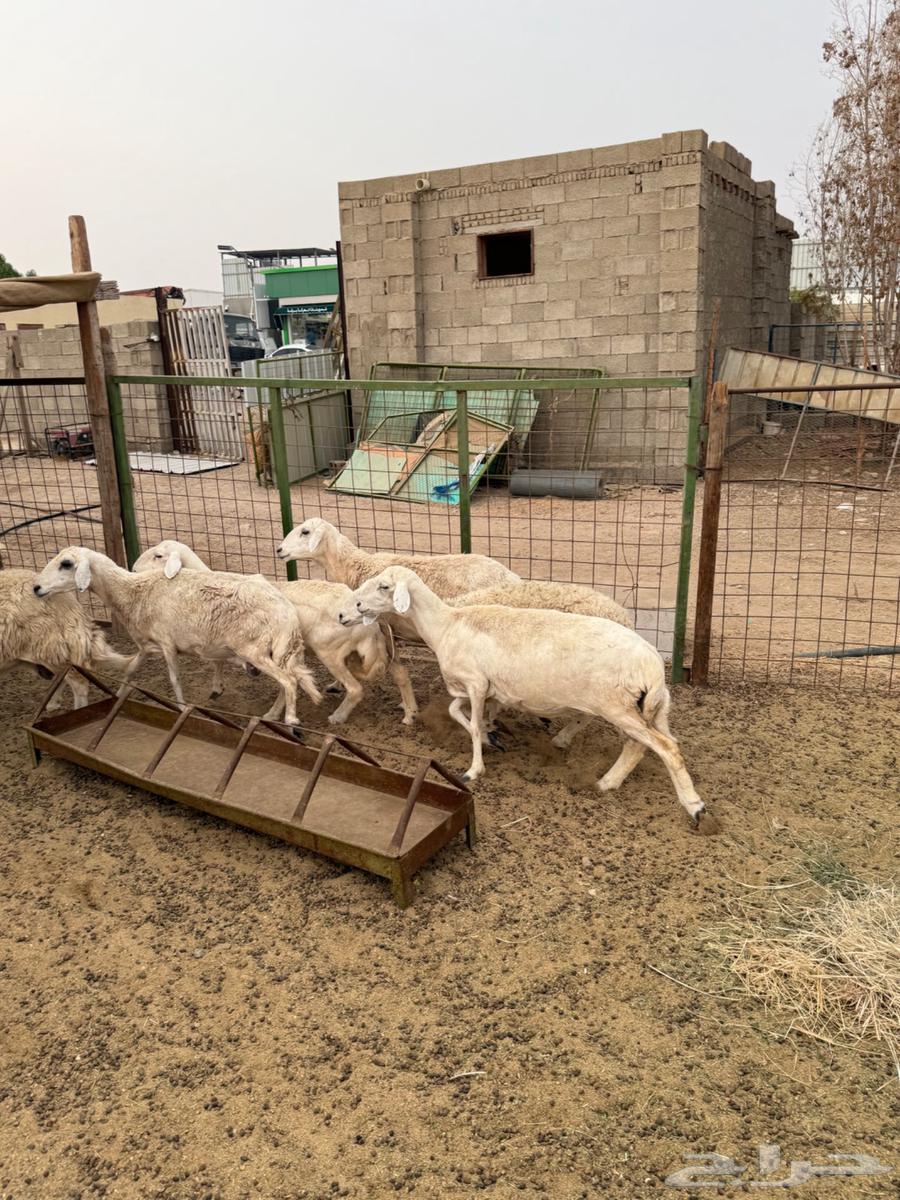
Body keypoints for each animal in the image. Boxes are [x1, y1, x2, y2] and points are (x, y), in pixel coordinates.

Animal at [33, 548, 321, 729]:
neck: (133, 591)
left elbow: (174, 679)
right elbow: (131, 669)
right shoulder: (147, 645)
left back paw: (291, 721)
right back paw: (272, 714)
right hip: (279, 652)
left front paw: (182, 709)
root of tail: (287, 613)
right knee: (289, 681)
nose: (36, 588)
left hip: (255, 650)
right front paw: (119, 693)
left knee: (288, 681)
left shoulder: (167, 643)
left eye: (66, 564)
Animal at [133, 540, 418, 726]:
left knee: (356, 689)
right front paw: (220, 689)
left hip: (330, 652)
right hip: (372, 651)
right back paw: (408, 712)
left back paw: (337, 716)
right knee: (400, 673)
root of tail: (371, 620)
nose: (133, 569)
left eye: (158, 556)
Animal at [348, 566, 706, 826]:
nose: (355, 607)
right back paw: (613, 782)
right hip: (652, 708)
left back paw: (692, 806)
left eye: (384, 587)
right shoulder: (482, 687)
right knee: (652, 744)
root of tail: (653, 665)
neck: (446, 624)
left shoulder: (476, 684)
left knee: (661, 747)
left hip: (617, 705)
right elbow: (457, 712)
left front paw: (474, 769)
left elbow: (472, 725)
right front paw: (492, 738)